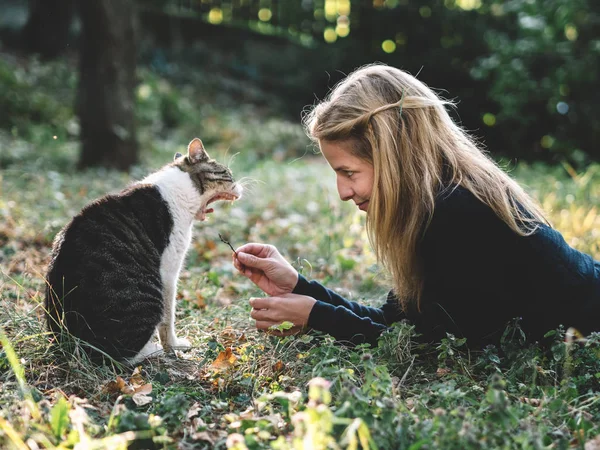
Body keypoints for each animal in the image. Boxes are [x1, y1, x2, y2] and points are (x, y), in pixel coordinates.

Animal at [44, 137, 243, 362]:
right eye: (227, 173)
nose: (241, 186)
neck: (183, 191)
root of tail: (68, 343)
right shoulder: (168, 272)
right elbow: (168, 317)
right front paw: (173, 346)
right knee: (120, 354)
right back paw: (153, 349)